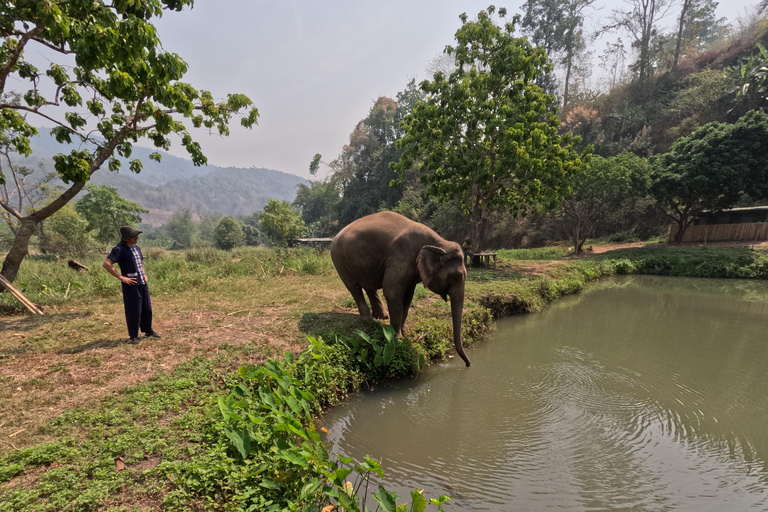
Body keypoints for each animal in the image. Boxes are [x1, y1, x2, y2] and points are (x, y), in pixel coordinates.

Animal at [328, 210, 468, 366]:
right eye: (455, 277)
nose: (468, 364)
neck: (438, 242)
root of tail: (336, 236)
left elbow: (408, 297)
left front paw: (404, 331)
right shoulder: (401, 257)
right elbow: (392, 292)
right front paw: (397, 338)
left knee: (369, 285)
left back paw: (382, 316)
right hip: (339, 260)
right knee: (354, 287)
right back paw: (368, 320)